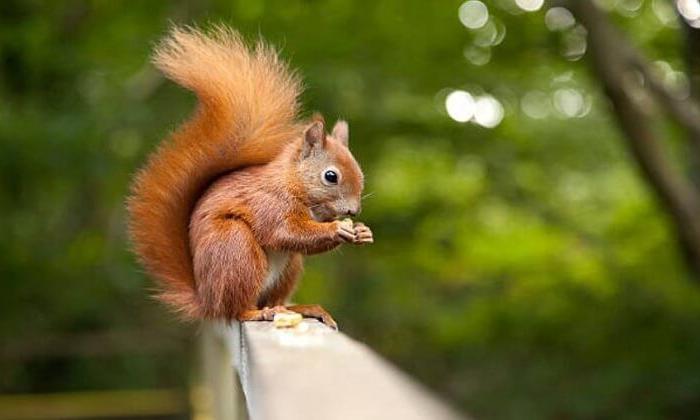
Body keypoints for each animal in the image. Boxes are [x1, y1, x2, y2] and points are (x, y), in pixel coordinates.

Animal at [129, 26, 374, 330]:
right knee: (237, 309)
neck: (293, 183)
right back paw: (255, 313)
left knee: (273, 296)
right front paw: (338, 228)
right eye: (331, 176)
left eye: (359, 172)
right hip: (236, 248)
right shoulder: (269, 204)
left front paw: (362, 231)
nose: (354, 211)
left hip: (288, 268)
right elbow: (286, 232)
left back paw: (300, 308)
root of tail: (207, 301)